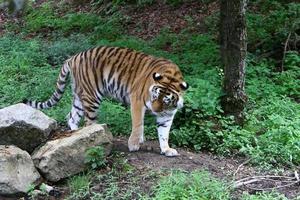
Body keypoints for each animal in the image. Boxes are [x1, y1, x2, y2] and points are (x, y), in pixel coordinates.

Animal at [24, 45, 188, 156]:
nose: (155, 110)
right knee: (89, 123)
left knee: (71, 117)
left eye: (165, 101)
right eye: (154, 96)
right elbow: (138, 124)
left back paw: (76, 136)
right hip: (92, 96)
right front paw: (134, 144)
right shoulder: (137, 101)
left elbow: (164, 132)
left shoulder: (167, 114)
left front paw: (166, 149)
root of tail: (74, 56)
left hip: (79, 95)